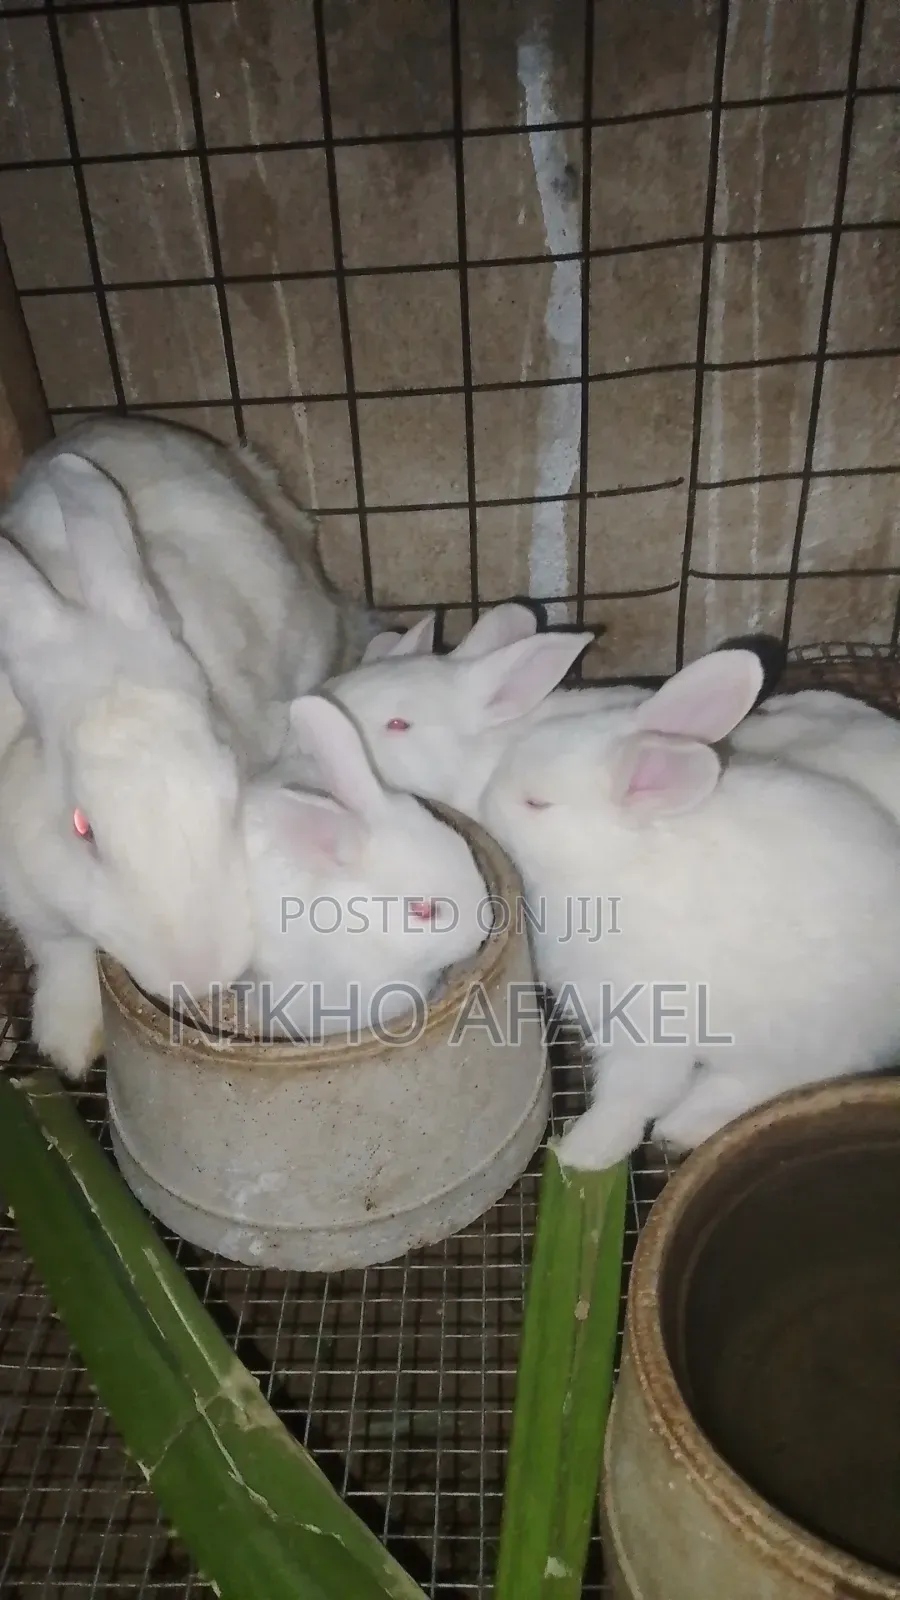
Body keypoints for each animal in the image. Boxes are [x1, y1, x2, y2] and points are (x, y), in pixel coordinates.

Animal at [0, 455, 259, 1079]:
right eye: (81, 828)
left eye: (230, 783)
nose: (197, 973)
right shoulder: (24, 888)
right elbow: (60, 947)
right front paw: (69, 1046)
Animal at [479, 647, 900, 1170]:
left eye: (537, 803)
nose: (483, 802)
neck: (616, 863)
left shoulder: (648, 1021)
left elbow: (629, 1095)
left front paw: (580, 1153)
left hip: (805, 1036)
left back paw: (683, 1126)